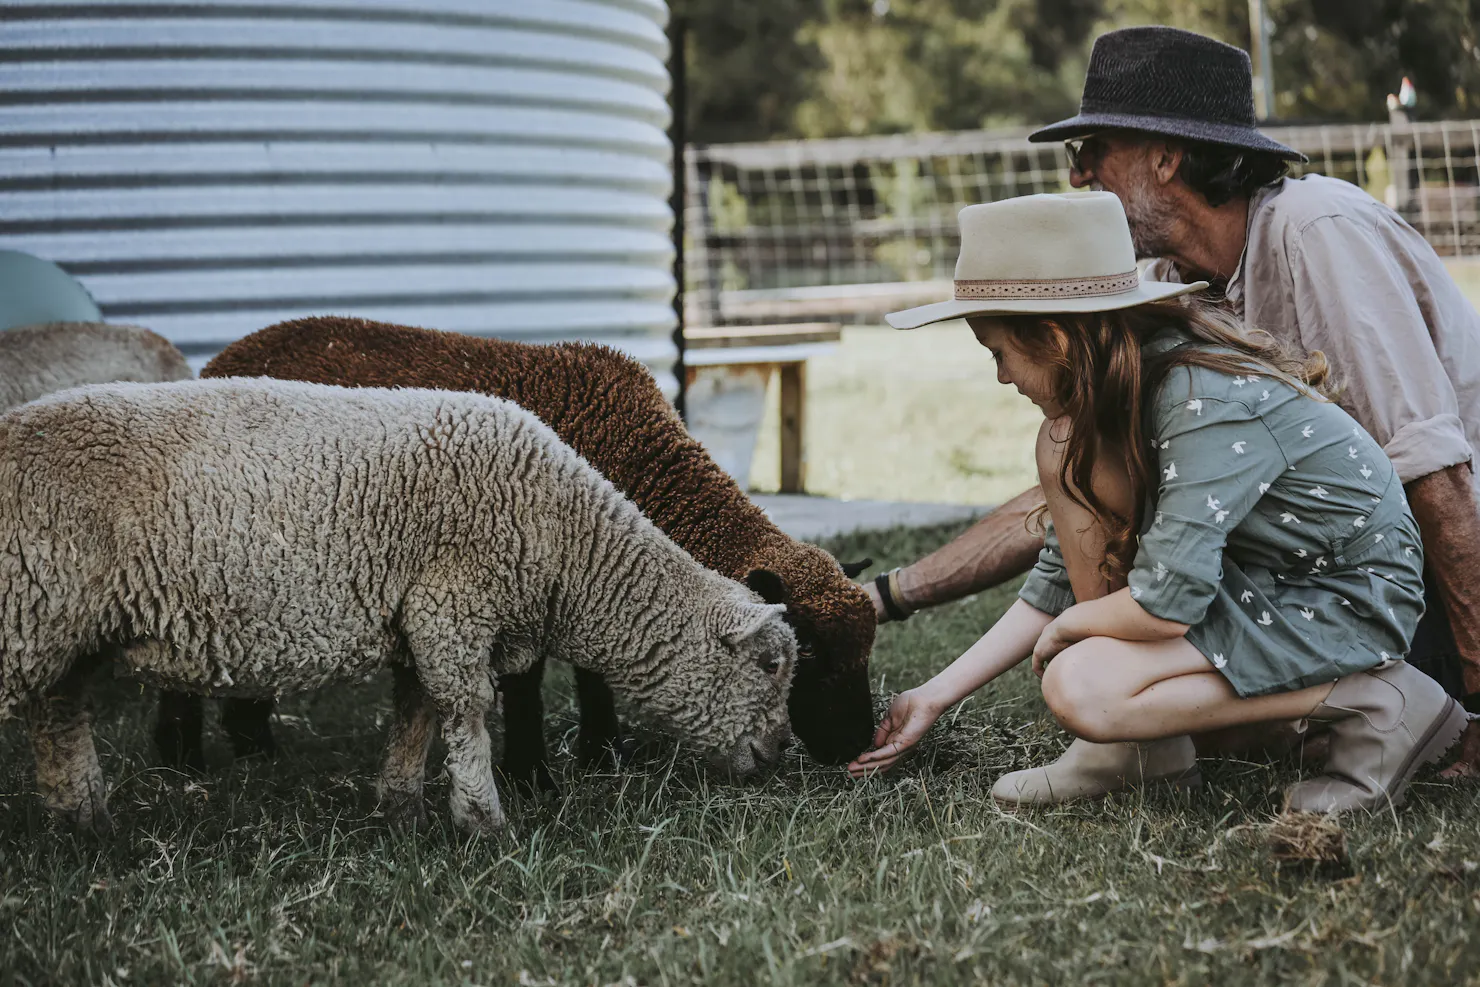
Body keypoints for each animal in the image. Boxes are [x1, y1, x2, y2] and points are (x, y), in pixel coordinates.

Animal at [0, 378, 799, 832]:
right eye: (768, 665)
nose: (778, 753)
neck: (567, 546)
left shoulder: (419, 612)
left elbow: (417, 711)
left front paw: (403, 808)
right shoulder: (454, 601)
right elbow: (467, 708)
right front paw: (484, 823)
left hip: (62, 625)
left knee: (58, 714)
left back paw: (85, 822)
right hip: (24, 608)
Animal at [171, 316, 877, 788]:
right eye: (810, 659)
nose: (857, 748)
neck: (631, 459)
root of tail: (218, 359)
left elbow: (594, 674)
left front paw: (602, 752)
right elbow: (527, 681)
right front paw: (532, 774)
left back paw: (254, 748)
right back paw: (190, 760)